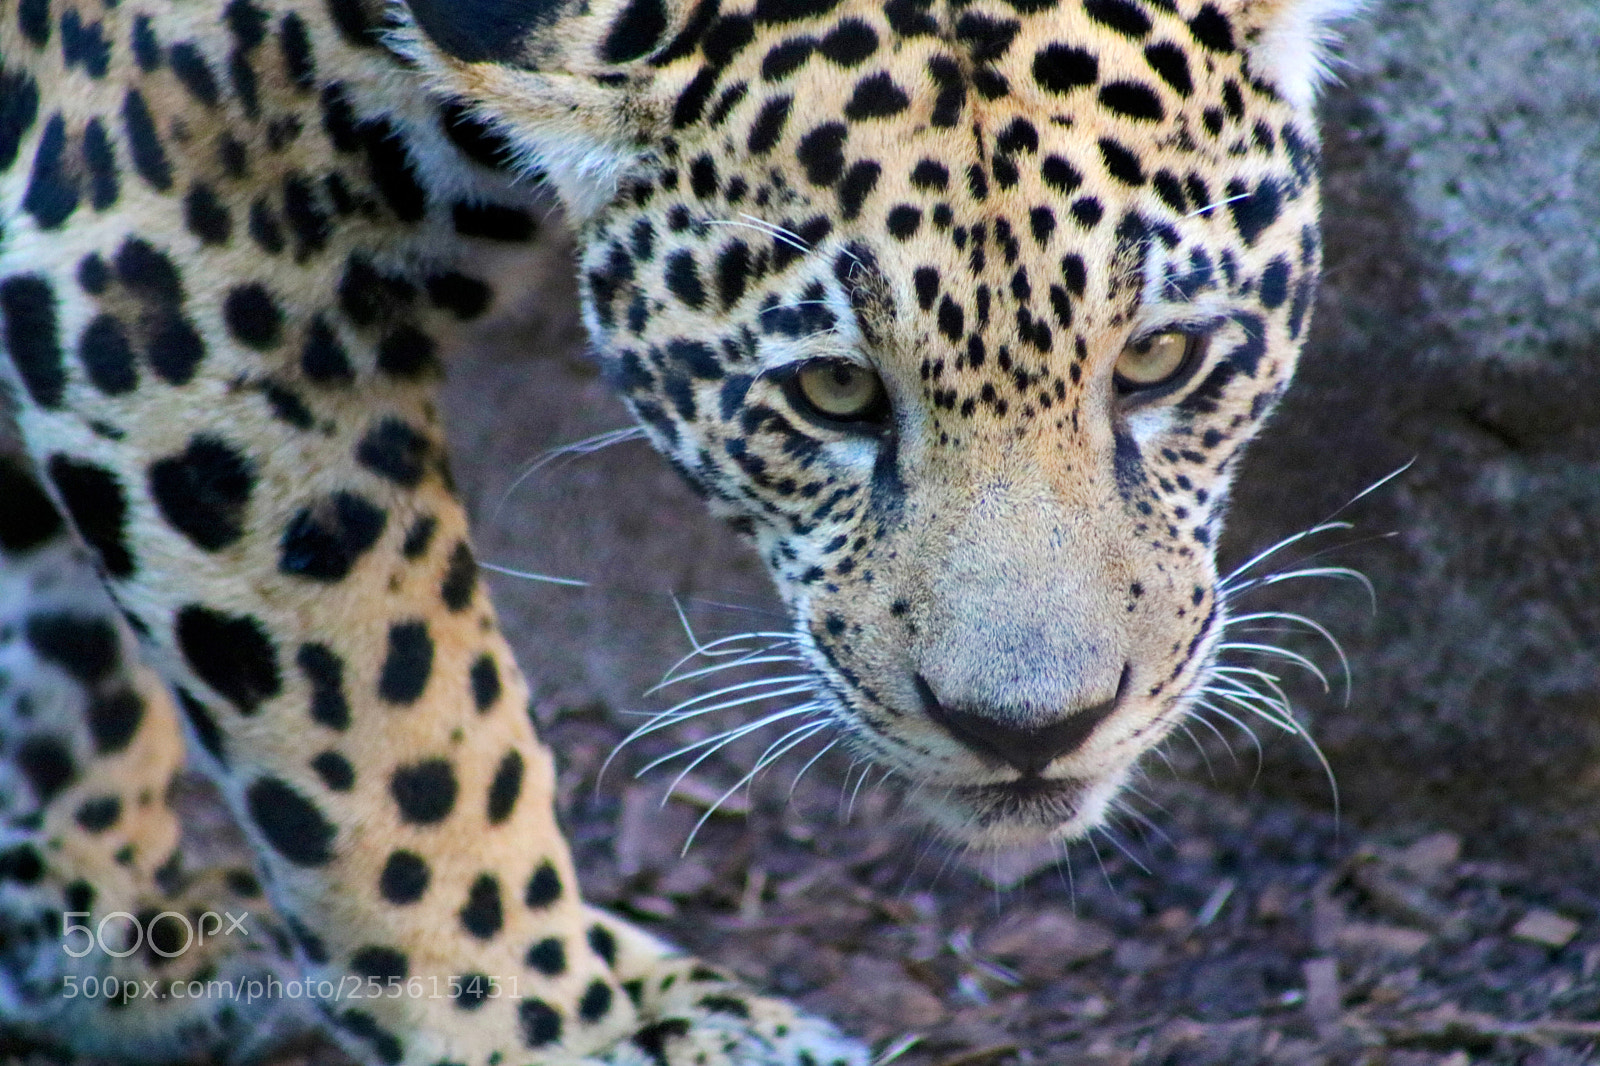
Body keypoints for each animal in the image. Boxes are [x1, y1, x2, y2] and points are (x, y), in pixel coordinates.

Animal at [0, 0, 1356, 1062]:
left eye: (1161, 358)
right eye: (834, 391)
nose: (1030, 730)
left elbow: (65, 644)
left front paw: (93, 929)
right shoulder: (176, 250)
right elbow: (391, 736)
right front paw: (557, 1026)